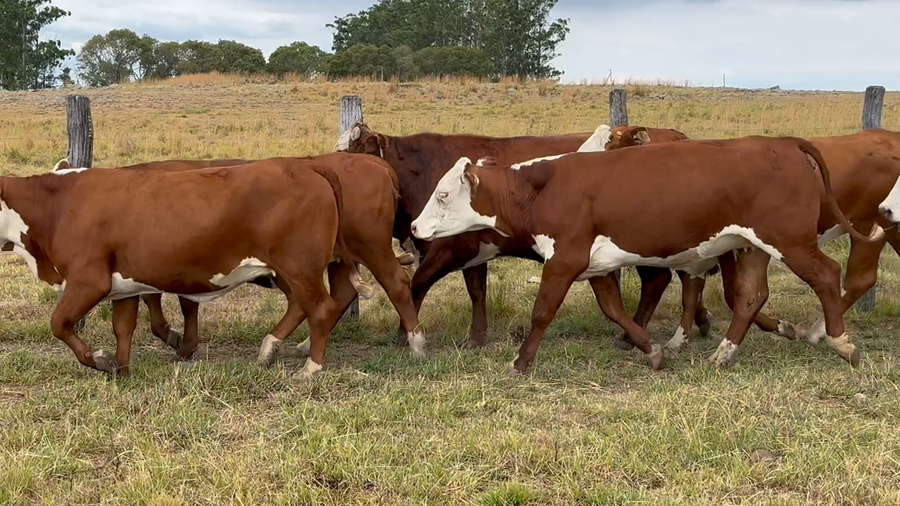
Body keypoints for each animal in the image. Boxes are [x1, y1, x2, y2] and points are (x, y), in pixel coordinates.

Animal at [1, 157, 373, 376]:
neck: (56, 205)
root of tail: (308, 167)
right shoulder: (123, 285)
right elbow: (123, 328)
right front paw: (120, 368)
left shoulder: (88, 281)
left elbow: (59, 324)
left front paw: (102, 361)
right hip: (289, 271)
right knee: (303, 305)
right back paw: (269, 349)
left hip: (299, 267)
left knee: (321, 308)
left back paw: (311, 368)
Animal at [410, 136, 883, 374]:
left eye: (444, 194)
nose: (413, 227)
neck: (541, 188)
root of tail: (784, 144)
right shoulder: (595, 265)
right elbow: (614, 309)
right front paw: (652, 351)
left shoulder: (564, 260)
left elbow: (542, 311)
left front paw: (522, 362)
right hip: (751, 246)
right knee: (749, 297)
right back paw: (723, 355)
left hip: (791, 241)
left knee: (828, 275)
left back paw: (839, 341)